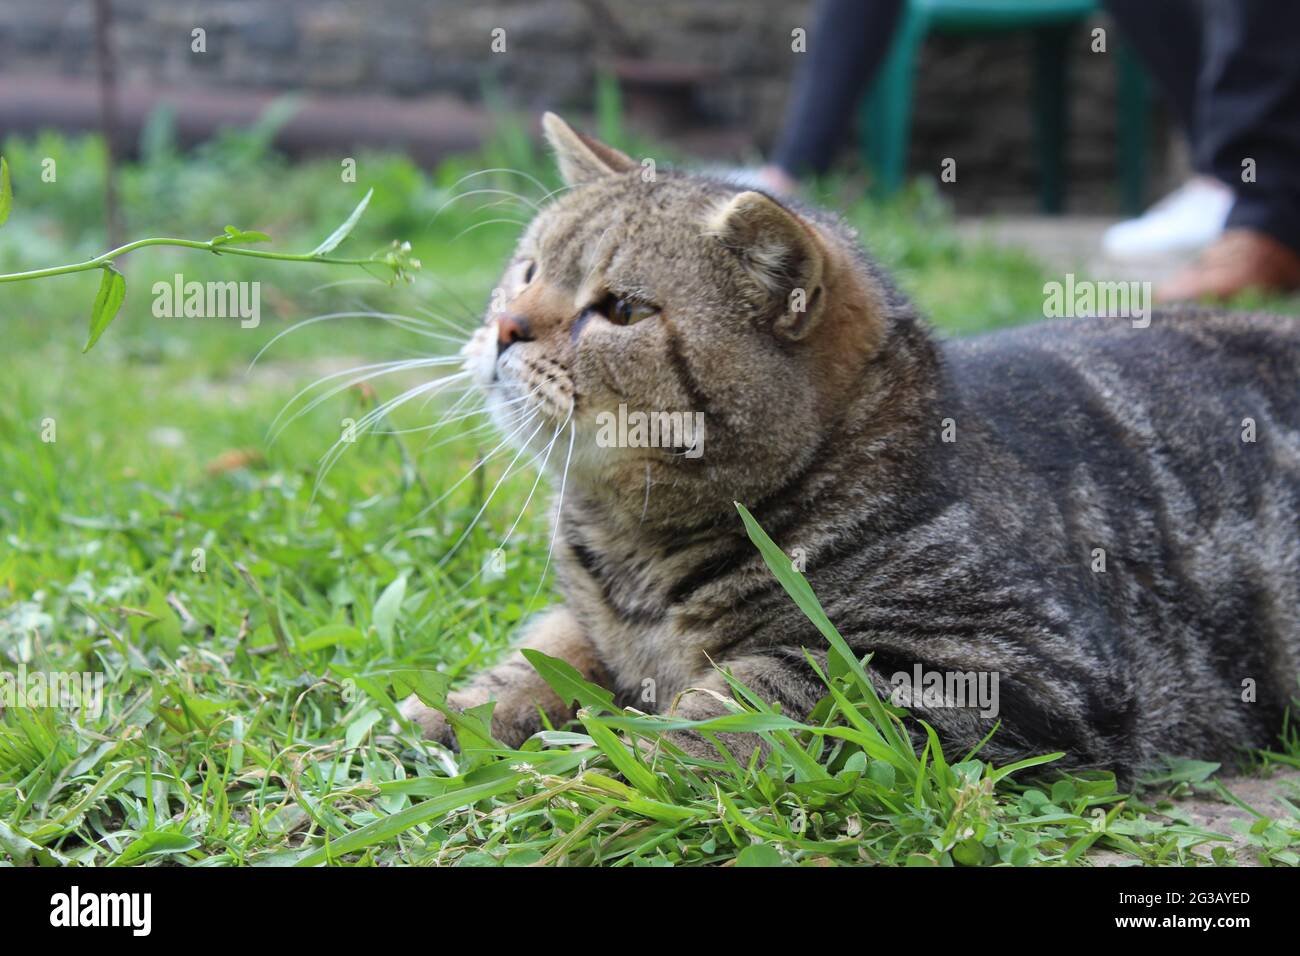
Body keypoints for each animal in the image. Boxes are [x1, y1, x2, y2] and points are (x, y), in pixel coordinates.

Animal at [400, 113, 1294, 785]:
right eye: (526, 271)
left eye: (620, 310)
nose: (505, 327)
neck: (638, 557)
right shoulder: (591, 623)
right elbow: (539, 655)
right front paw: (442, 713)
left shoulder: (1008, 660)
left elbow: (767, 688)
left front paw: (608, 772)